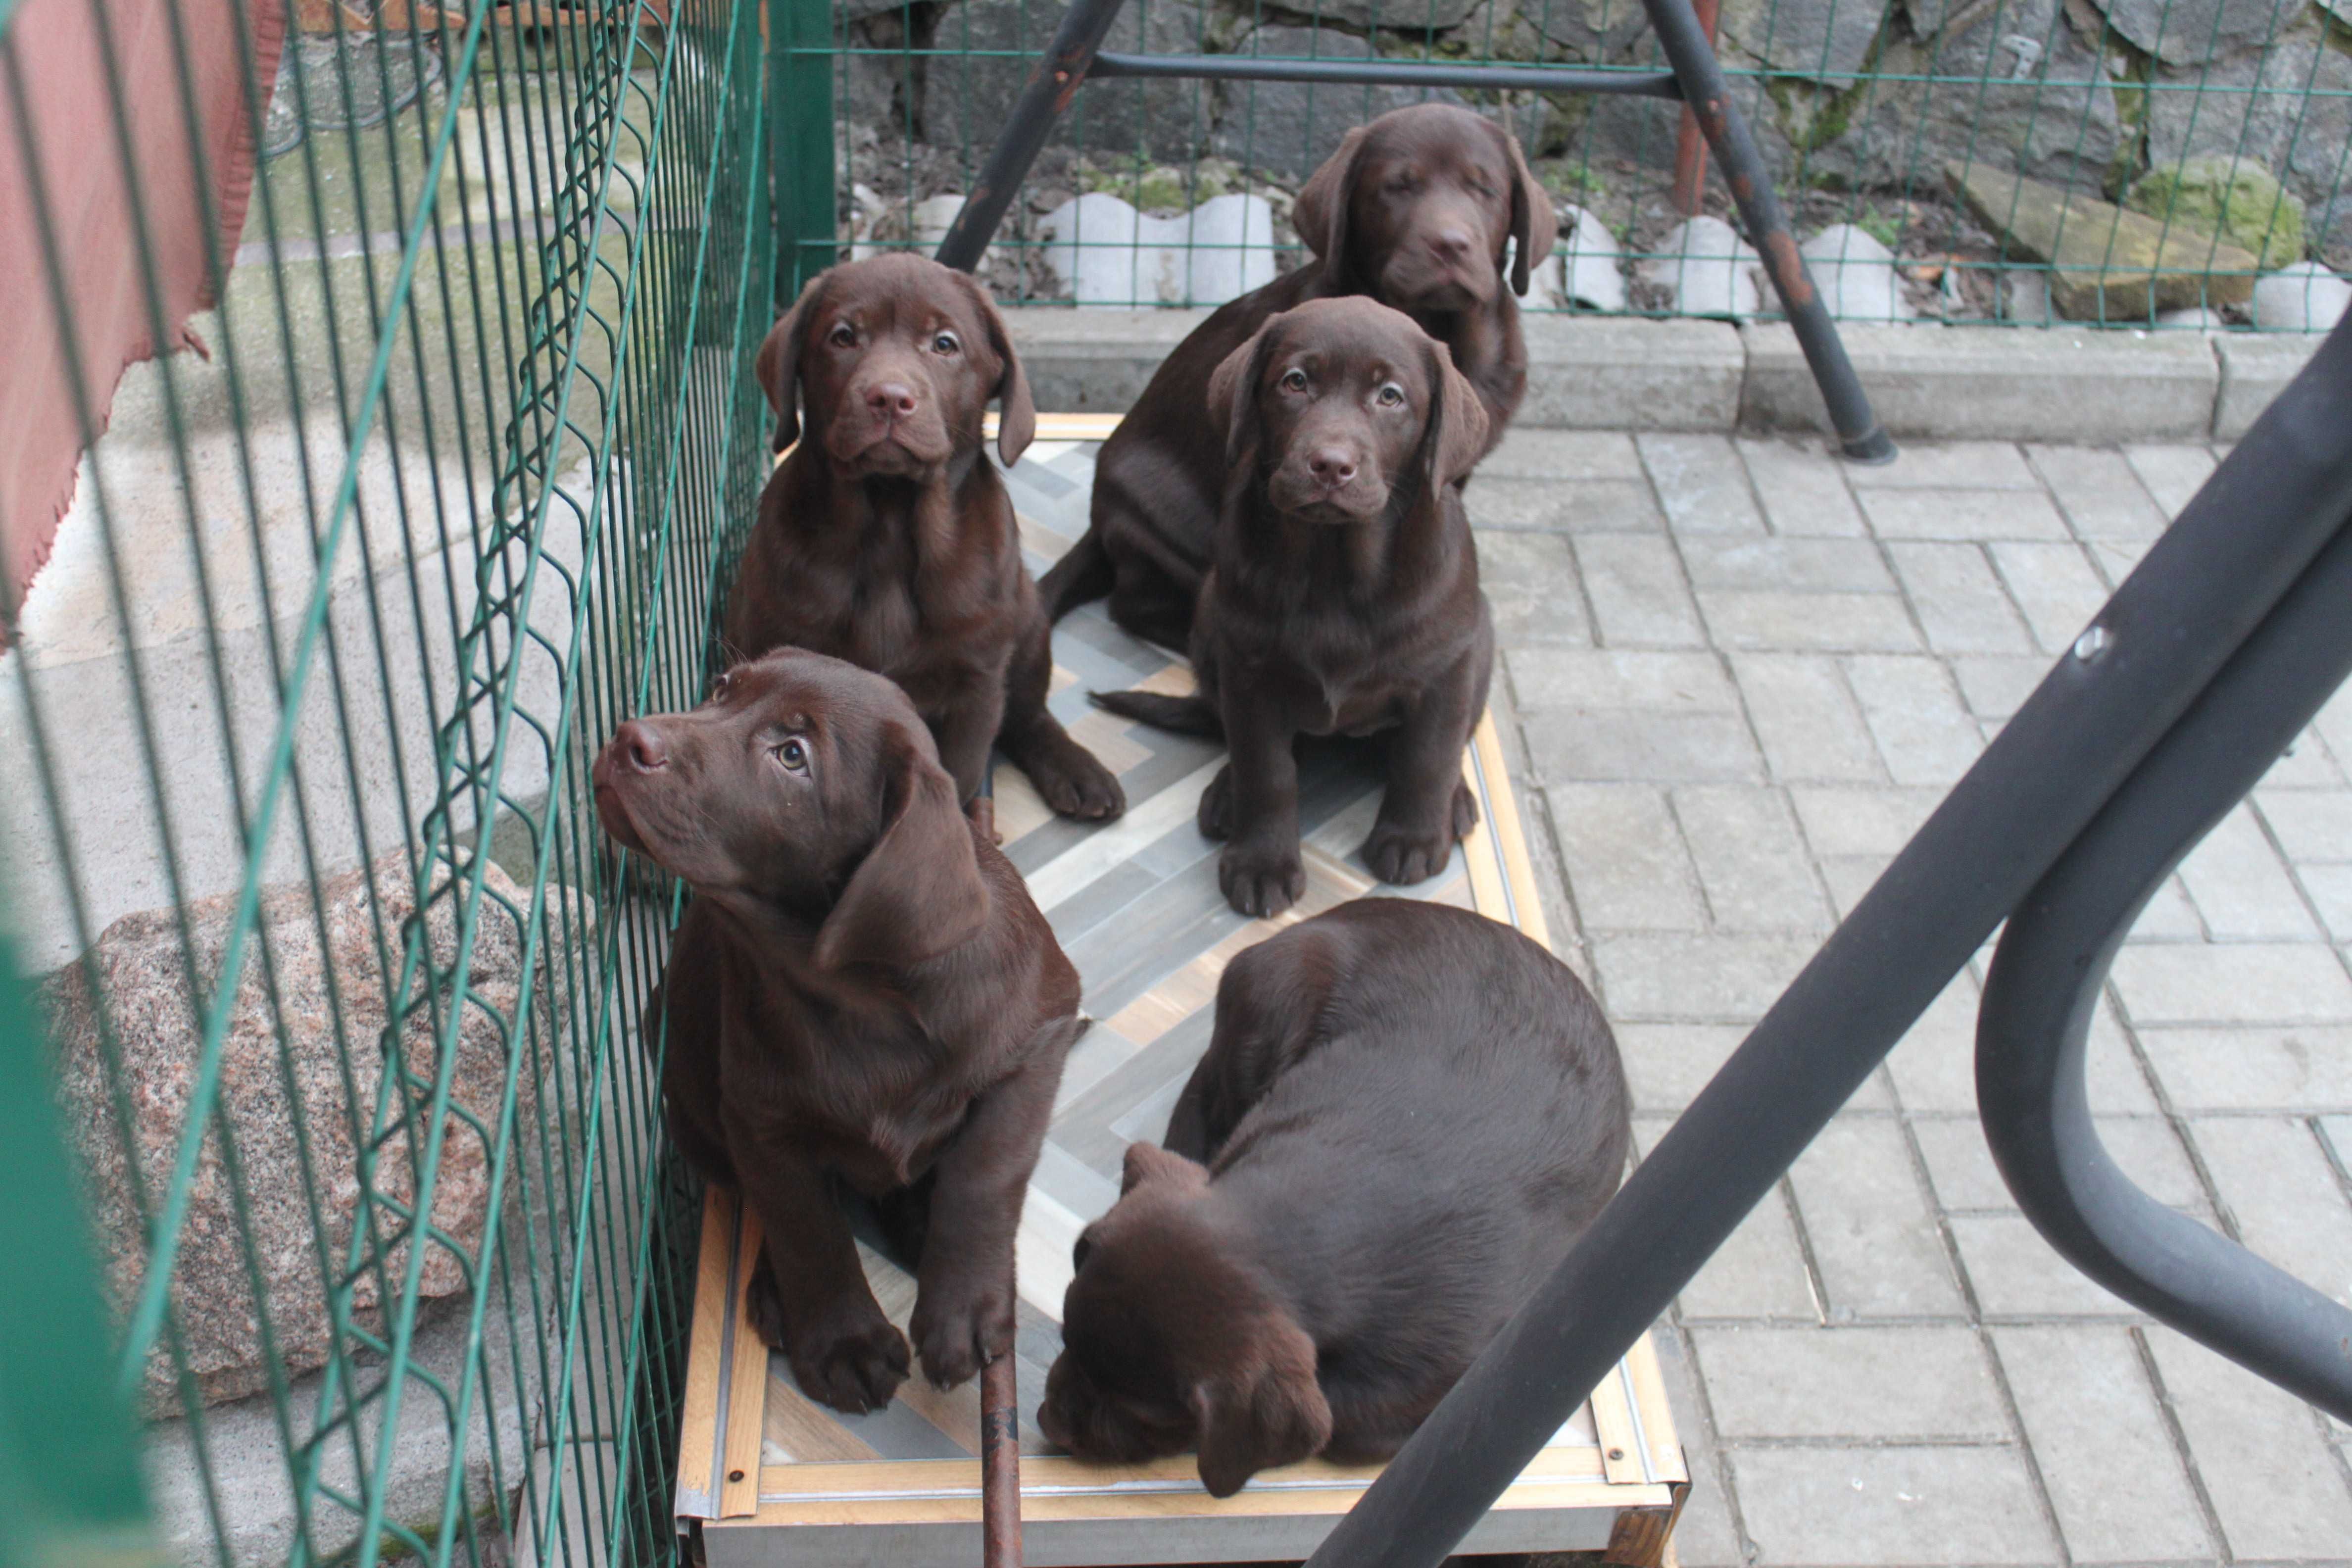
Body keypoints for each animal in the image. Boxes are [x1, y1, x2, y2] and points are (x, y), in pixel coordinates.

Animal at [602, 648, 1086, 1410]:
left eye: (792, 755)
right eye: (721, 688)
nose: (628, 739)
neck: (861, 997)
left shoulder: (1039, 1037)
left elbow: (985, 1173)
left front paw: (964, 1310)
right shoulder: (762, 1121)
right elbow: (806, 1224)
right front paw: (846, 1344)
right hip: (681, 1081)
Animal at [729, 251, 1124, 823]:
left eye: (944, 344)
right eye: (843, 337)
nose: (889, 398)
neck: (891, 526)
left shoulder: (975, 688)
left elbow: (959, 785)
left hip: (1029, 627)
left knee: (1028, 716)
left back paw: (1076, 770)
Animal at [1039, 893, 1627, 1495]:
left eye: (1142, 1415)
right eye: (1066, 1339)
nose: (1047, 1422)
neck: (1312, 1215)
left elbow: (1353, 1427)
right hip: (1276, 992)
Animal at [1096, 294, 1486, 921]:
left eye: (1390, 396)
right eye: (1296, 382)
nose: (1330, 465)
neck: (1334, 570)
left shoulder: (1445, 668)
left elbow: (1428, 753)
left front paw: (1413, 839)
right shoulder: (1252, 674)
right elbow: (1268, 770)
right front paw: (1262, 864)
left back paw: (1455, 803)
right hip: (1210, 625)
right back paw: (1226, 794)